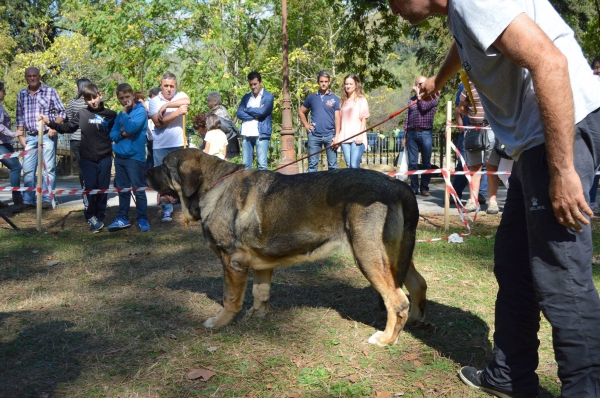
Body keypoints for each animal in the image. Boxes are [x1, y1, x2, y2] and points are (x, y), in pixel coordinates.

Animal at [146, 148, 426, 346]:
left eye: (164, 166)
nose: (146, 172)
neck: (212, 185)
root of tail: (399, 186)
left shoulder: (232, 261)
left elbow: (230, 298)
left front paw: (220, 322)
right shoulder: (259, 264)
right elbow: (260, 292)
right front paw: (257, 316)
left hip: (368, 254)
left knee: (397, 300)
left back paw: (386, 339)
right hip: (395, 255)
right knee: (417, 284)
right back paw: (414, 321)